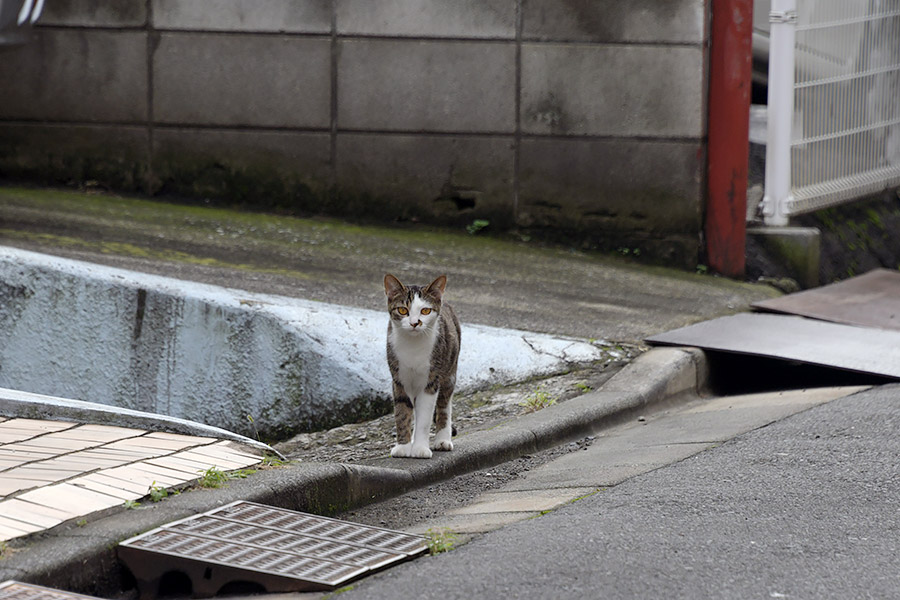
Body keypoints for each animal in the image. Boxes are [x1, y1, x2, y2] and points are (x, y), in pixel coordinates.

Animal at [384, 274, 460, 460]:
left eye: (425, 311)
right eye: (402, 310)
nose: (414, 323)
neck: (413, 346)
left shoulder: (431, 380)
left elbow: (425, 416)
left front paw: (420, 448)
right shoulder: (399, 379)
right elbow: (402, 412)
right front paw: (403, 447)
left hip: (449, 371)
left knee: (444, 405)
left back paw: (443, 440)